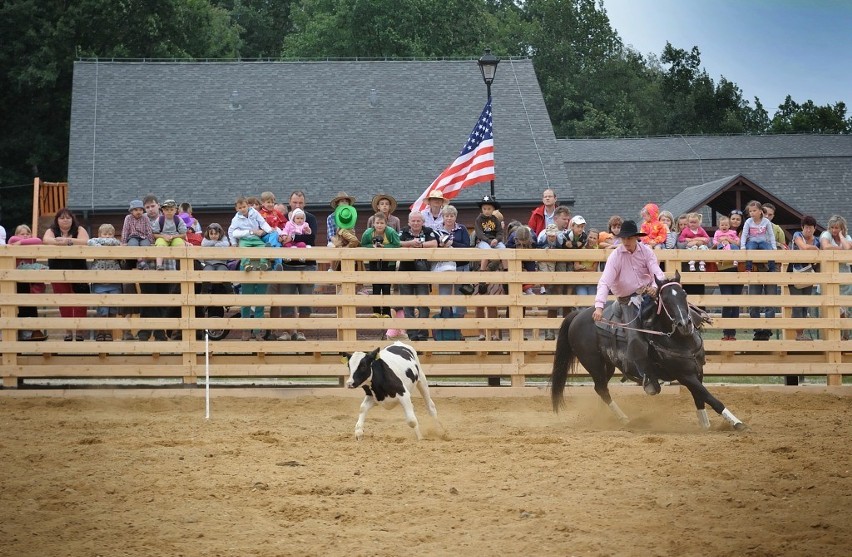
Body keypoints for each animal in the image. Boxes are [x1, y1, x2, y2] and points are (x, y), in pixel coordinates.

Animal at [552, 270, 744, 430]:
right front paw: (736, 422)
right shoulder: (685, 375)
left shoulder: (698, 371)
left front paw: (705, 424)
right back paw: (623, 418)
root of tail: (578, 315)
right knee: (602, 389)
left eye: (684, 294)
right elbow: (710, 398)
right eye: (664, 299)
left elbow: (700, 398)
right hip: (593, 363)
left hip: (607, 365)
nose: (684, 324)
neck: (679, 340)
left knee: (601, 389)